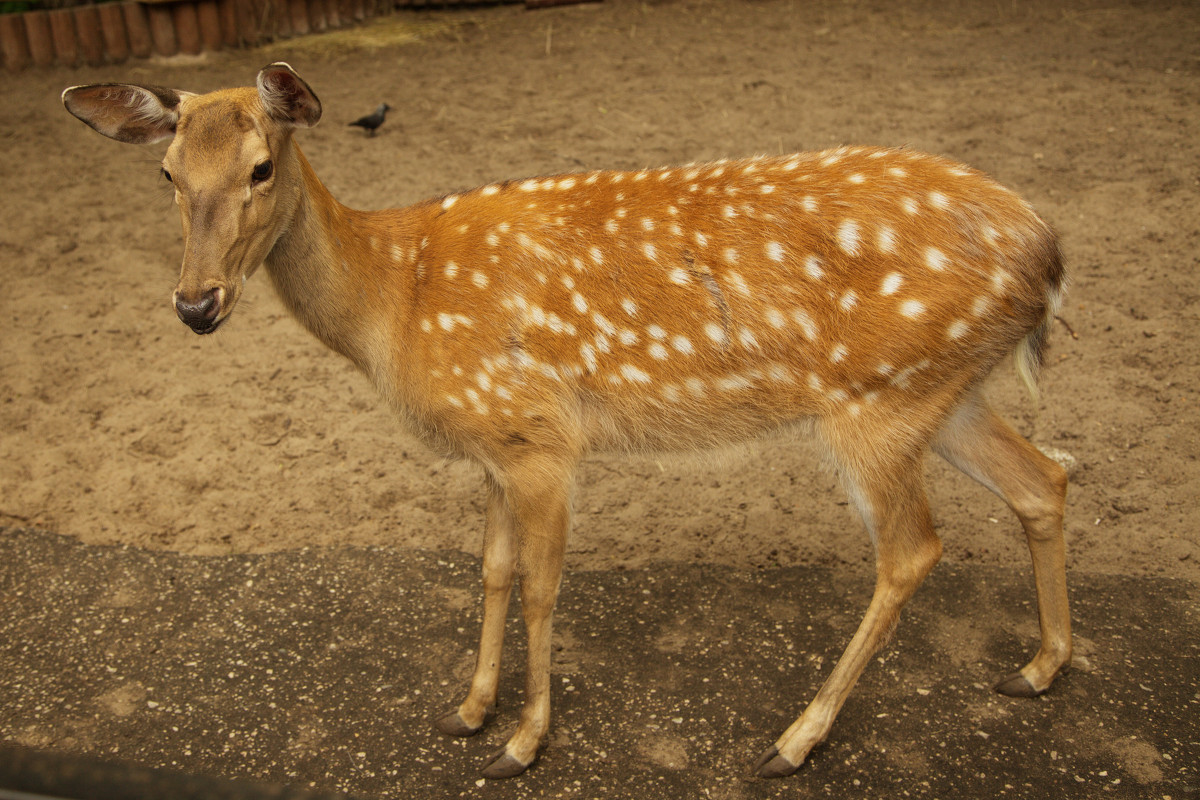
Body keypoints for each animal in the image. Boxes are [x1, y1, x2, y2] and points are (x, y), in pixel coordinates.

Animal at [60, 64, 1075, 782]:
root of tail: (1049, 247)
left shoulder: (541, 439)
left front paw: (525, 741)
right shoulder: (493, 446)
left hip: (878, 398)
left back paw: (795, 740)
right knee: (1045, 477)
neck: (396, 299)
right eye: (166, 172)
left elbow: (545, 588)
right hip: (941, 390)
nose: (196, 304)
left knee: (913, 548)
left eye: (261, 167)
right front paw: (469, 710)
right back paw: (1038, 667)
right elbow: (493, 571)